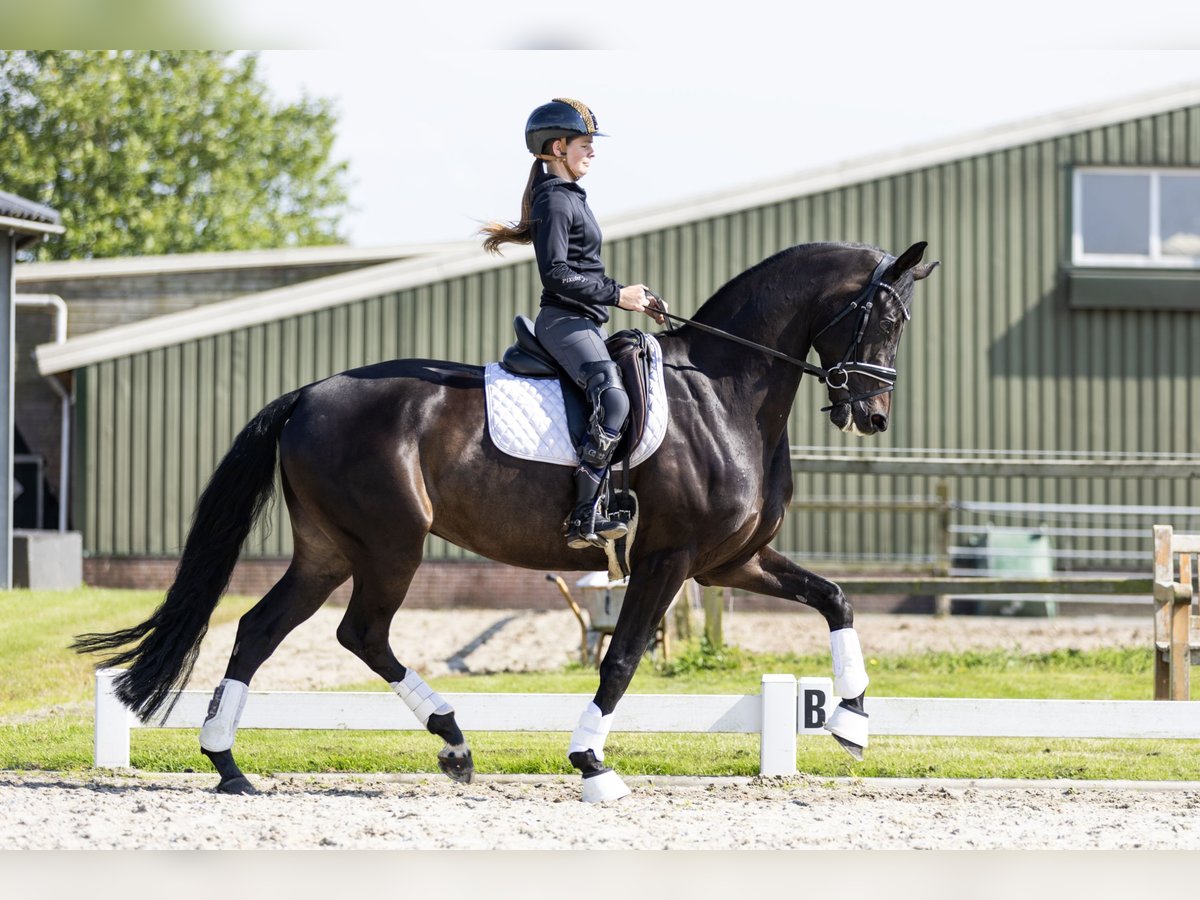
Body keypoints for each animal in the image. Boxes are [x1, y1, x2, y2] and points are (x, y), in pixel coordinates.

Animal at [72, 237, 936, 801]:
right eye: (886, 320)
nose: (873, 415)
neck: (722, 391)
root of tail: (309, 394)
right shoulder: (670, 559)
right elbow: (621, 659)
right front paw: (592, 766)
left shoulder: (732, 562)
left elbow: (836, 599)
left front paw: (852, 721)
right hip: (390, 542)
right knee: (362, 634)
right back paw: (452, 741)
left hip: (328, 548)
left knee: (259, 630)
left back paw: (230, 766)